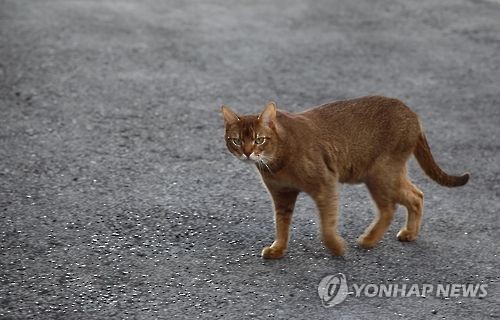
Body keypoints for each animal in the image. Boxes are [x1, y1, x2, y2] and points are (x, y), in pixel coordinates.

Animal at [220, 95, 468, 258]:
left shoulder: (325, 183)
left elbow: (326, 225)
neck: (277, 161)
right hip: (389, 174)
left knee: (391, 207)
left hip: (380, 173)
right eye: (237, 140)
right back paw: (409, 233)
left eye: (259, 139)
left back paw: (369, 240)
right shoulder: (282, 194)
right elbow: (281, 224)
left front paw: (336, 248)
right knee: (416, 195)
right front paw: (278, 249)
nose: (247, 152)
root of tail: (413, 114)